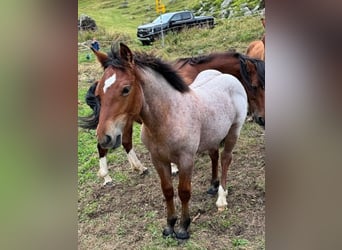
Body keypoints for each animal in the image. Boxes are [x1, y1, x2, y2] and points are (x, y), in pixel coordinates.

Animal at [84, 42, 247, 238]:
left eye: (126, 89)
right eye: (98, 93)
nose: (104, 137)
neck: (167, 117)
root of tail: (228, 77)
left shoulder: (186, 159)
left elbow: (184, 192)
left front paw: (183, 228)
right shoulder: (158, 159)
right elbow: (168, 190)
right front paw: (170, 225)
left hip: (233, 131)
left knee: (225, 159)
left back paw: (221, 198)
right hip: (213, 134)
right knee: (214, 156)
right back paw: (213, 186)